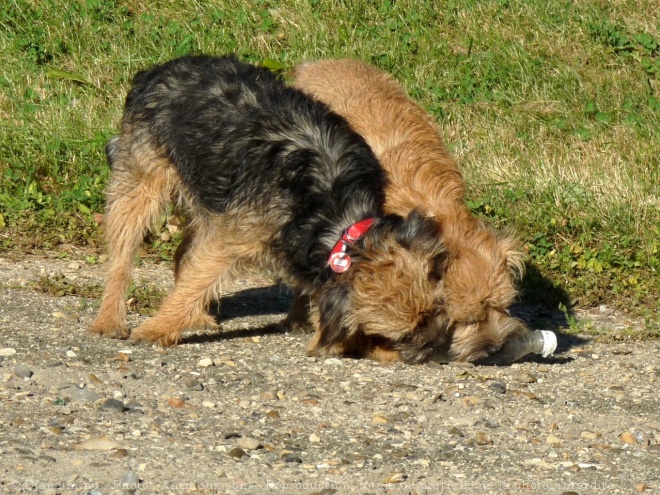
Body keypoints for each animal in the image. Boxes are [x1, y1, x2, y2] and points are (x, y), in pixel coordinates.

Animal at [91, 55, 454, 364]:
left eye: (433, 311)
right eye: (405, 334)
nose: (437, 350)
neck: (338, 218)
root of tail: (158, 70)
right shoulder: (231, 239)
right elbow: (198, 279)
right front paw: (158, 327)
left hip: (210, 199)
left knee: (184, 252)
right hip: (140, 185)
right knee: (122, 257)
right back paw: (110, 318)